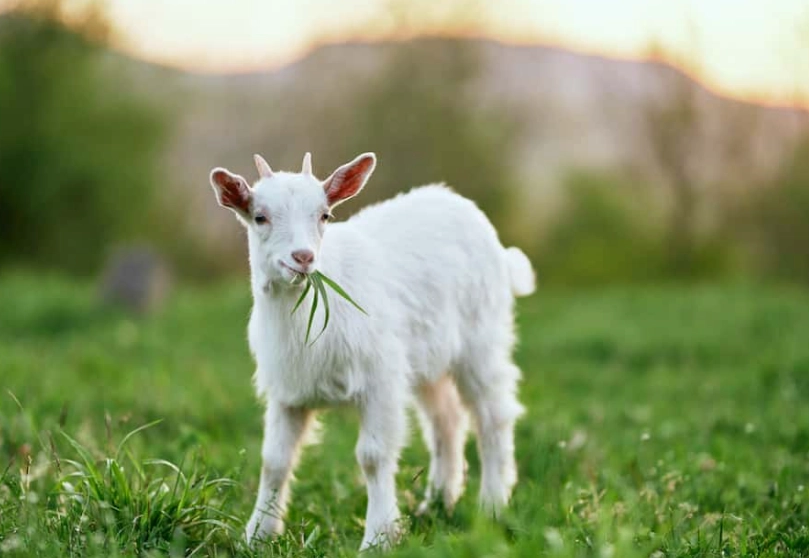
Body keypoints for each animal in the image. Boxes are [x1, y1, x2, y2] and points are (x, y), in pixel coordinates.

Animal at [209, 152, 535, 550]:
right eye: (260, 216)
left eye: (324, 215)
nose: (303, 257)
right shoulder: (288, 391)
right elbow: (274, 460)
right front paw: (256, 535)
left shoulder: (380, 380)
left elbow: (373, 456)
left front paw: (379, 537)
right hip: (427, 358)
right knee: (446, 420)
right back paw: (437, 503)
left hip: (481, 339)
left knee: (493, 415)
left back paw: (492, 505)